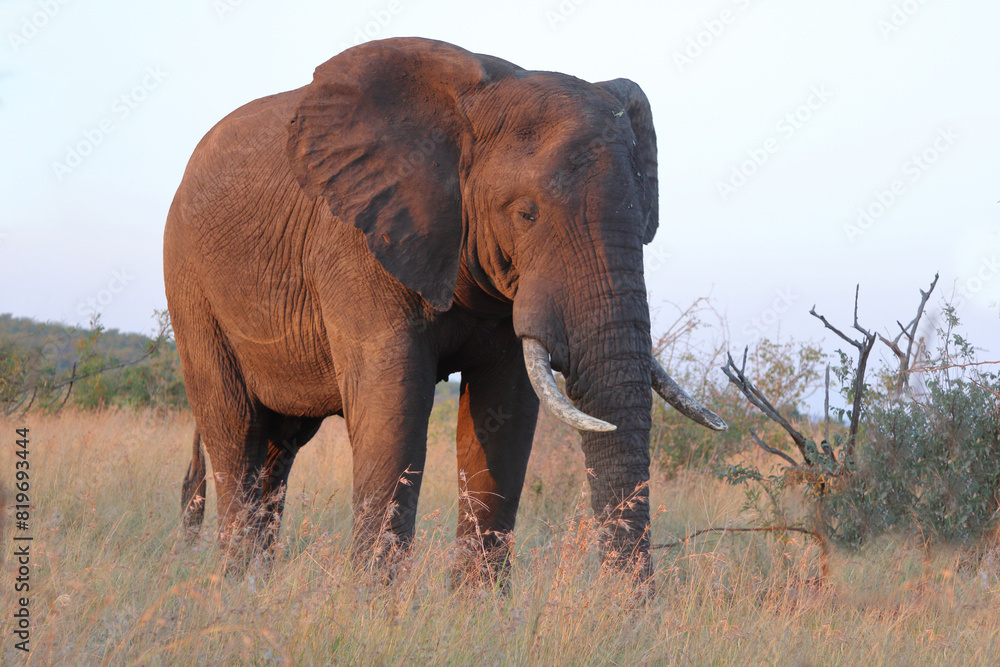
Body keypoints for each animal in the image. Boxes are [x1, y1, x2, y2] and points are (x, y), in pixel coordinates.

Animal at [164, 37, 726, 579]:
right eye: (525, 214)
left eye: (644, 221)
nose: (631, 604)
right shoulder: (355, 243)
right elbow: (395, 412)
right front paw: (372, 603)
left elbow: (505, 418)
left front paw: (480, 608)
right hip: (189, 281)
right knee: (236, 431)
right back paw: (234, 584)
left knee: (279, 446)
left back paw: (255, 584)